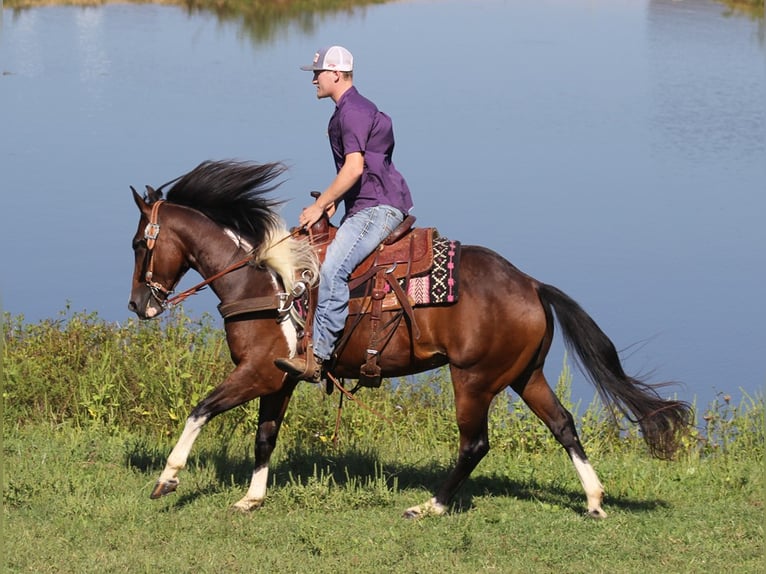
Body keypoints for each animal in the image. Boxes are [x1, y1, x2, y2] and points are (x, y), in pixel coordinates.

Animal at [129, 160, 692, 520]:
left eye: (138, 243)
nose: (138, 305)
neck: (266, 281)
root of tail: (532, 284)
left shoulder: (257, 372)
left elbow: (201, 410)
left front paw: (167, 479)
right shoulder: (278, 379)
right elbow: (264, 436)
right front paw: (251, 498)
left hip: (473, 380)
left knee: (475, 444)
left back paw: (431, 506)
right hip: (524, 376)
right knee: (564, 425)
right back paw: (594, 500)